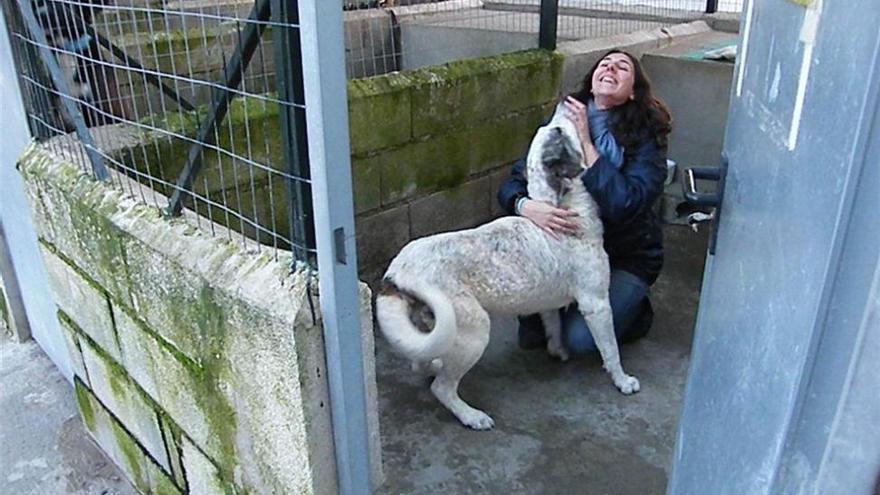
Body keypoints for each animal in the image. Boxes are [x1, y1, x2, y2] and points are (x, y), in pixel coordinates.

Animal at [374, 104, 636, 430]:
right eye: (558, 131)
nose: (566, 102)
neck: (559, 205)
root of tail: (396, 271)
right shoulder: (596, 304)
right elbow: (610, 349)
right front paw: (623, 381)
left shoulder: (549, 305)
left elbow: (554, 327)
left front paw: (558, 351)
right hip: (473, 328)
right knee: (442, 388)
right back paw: (472, 416)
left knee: (419, 360)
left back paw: (433, 366)